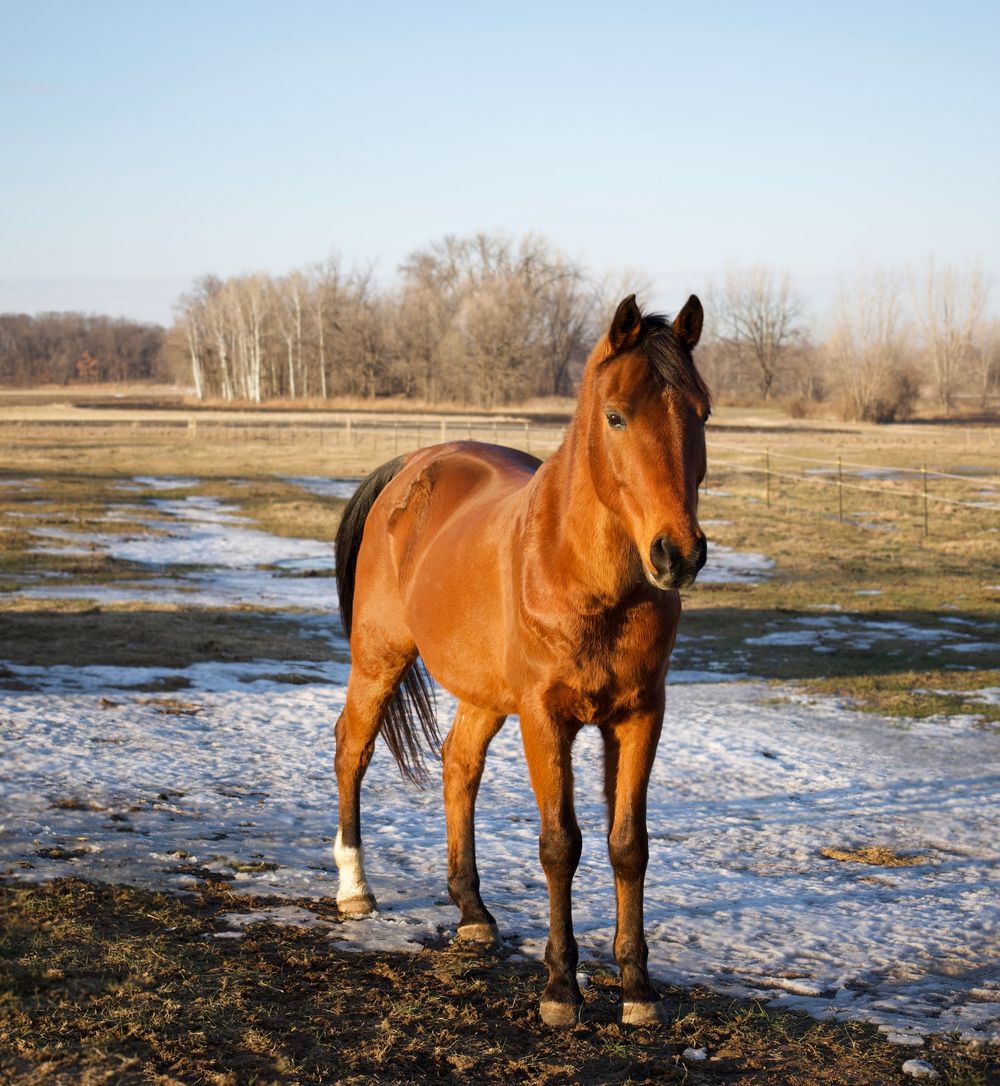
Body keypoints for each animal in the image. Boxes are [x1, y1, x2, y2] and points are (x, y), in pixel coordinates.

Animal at [333, 293, 710, 1027]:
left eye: (702, 411)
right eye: (615, 415)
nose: (677, 554)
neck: (583, 577)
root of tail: (412, 467)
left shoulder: (641, 716)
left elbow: (629, 846)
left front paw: (637, 989)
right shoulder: (546, 717)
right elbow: (561, 845)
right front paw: (561, 988)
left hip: (481, 693)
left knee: (459, 766)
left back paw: (472, 911)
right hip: (378, 659)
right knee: (352, 749)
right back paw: (354, 889)